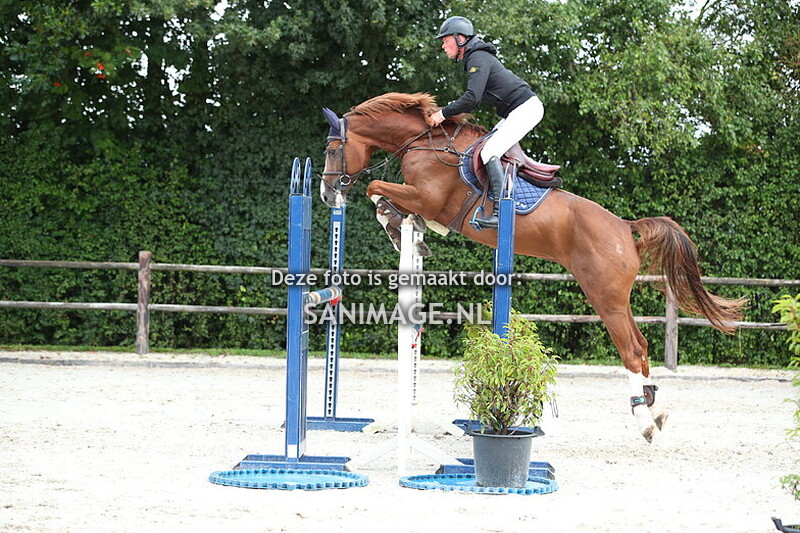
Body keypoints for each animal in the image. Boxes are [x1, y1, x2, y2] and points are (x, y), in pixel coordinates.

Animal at [319, 92, 746, 442]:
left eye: (332, 149)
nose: (326, 193)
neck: (427, 144)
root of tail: (625, 228)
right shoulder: (422, 200)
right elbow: (392, 200)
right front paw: (409, 229)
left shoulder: (426, 197)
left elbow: (376, 189)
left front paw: (393, 222)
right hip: (616, 297)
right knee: (640, 346)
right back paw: (655, 413)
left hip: (603, 296)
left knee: (630, 350)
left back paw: (644, 423)